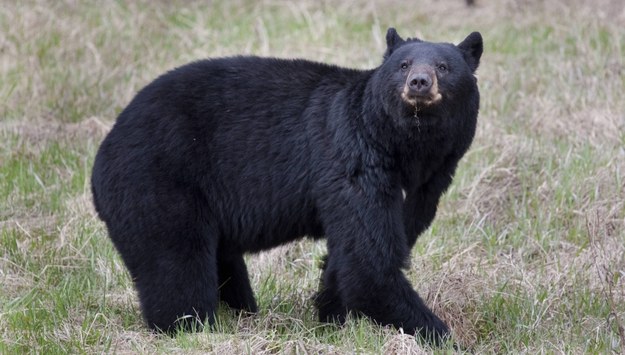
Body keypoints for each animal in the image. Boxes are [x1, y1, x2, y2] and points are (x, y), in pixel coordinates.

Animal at [91, 27, 482, 344]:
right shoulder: (355, 161)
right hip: (159, 185)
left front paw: (329, 319)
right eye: (403, 65)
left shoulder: (427, 186)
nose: (419, 82)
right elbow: (368, 261)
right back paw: (191, 327)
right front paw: (443, 336)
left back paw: (242, 312)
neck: (406, 149)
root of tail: (101, 157)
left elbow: (363, 248)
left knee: (222, 262)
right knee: (175, 265)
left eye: (444, 67)